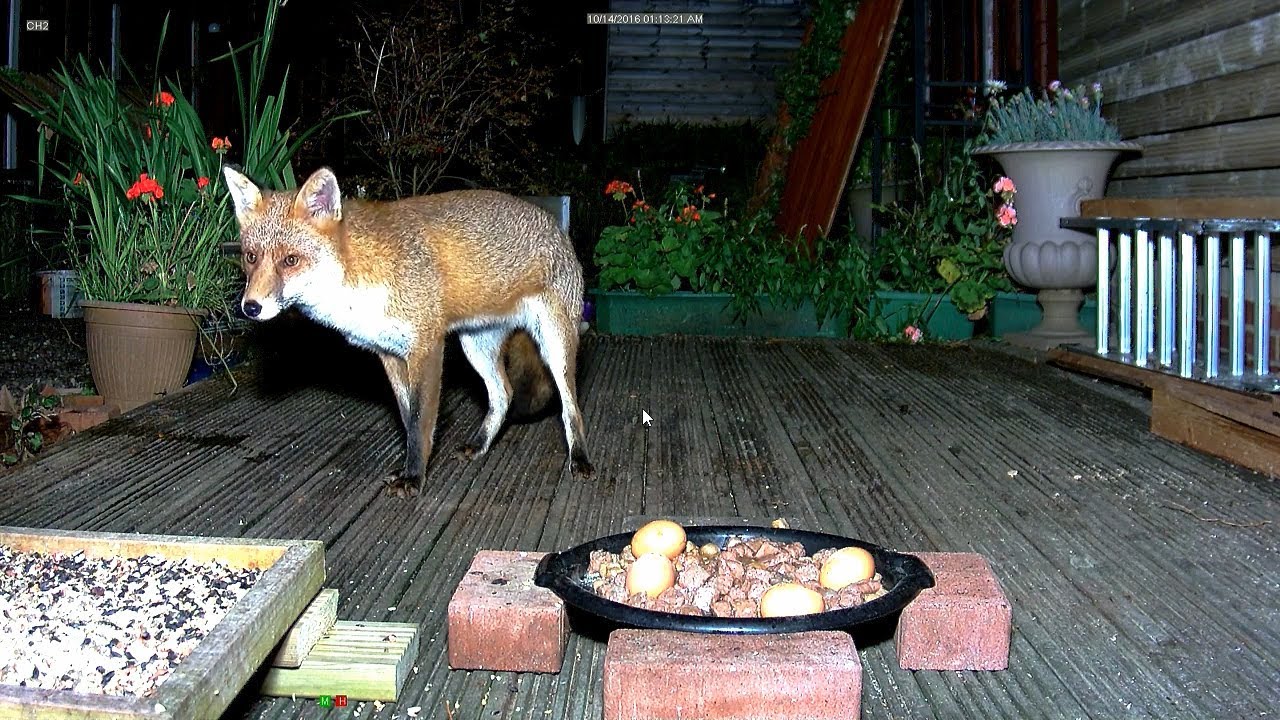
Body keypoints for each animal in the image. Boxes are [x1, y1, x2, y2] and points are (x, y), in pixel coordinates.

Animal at [222, 166, 593, 497]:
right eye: (251, 257)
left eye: (290, 260)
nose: (250, 307)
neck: (359, 277)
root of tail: (554, 223)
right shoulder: (389, 353)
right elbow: (405, 418)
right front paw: (410, 468)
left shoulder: (426, 347)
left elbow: (419, 422)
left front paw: (413, 478)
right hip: (476, 347)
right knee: (504, 393)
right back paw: (479, 444)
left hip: (555, 345)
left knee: (569, 407)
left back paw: (580, 459)